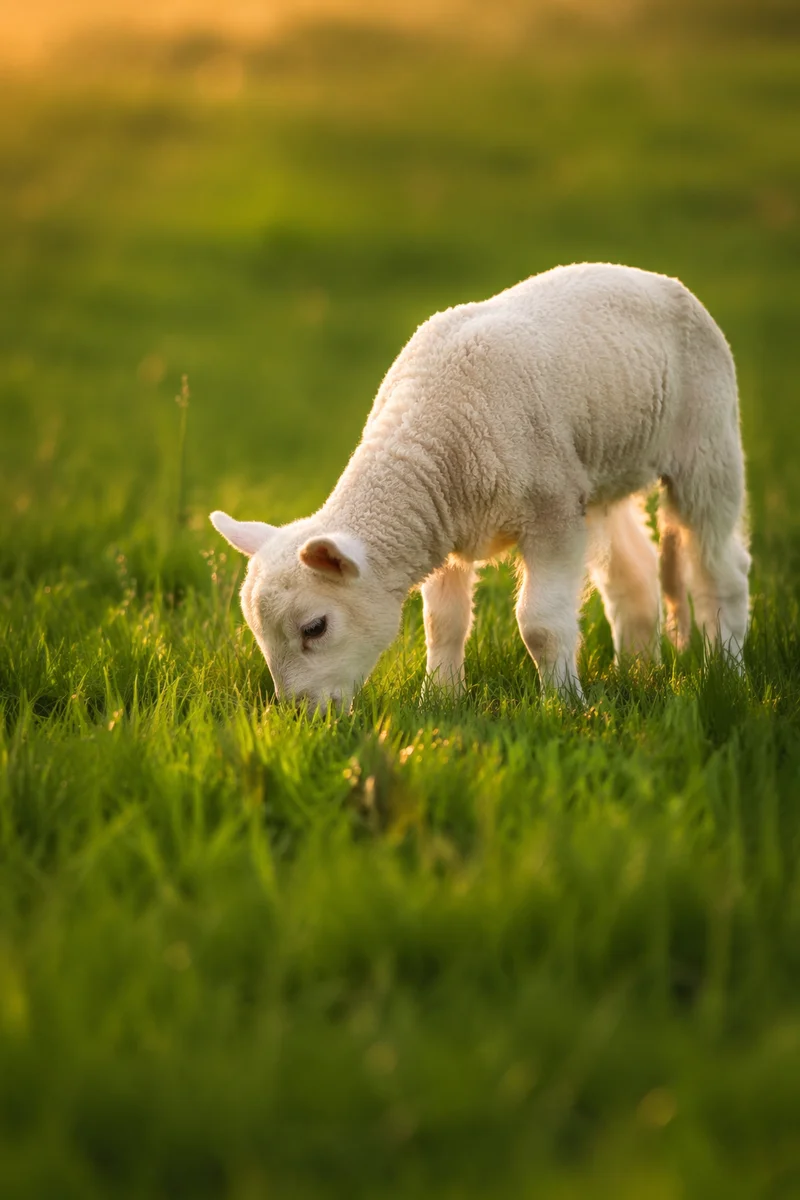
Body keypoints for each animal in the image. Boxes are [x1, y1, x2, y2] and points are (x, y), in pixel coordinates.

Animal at [211, 262, 750, 708]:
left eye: (315, 627)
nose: (299, 714)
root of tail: (650, 276)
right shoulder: (444, 527)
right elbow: (443, 625)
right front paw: (440, 698)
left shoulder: (552, 511)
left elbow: (541, 625)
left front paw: (565, 705)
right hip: (603, 475)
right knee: (634, 573)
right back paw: (639, 674)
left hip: (709, 441)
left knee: (720, 569)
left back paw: (727, 672)